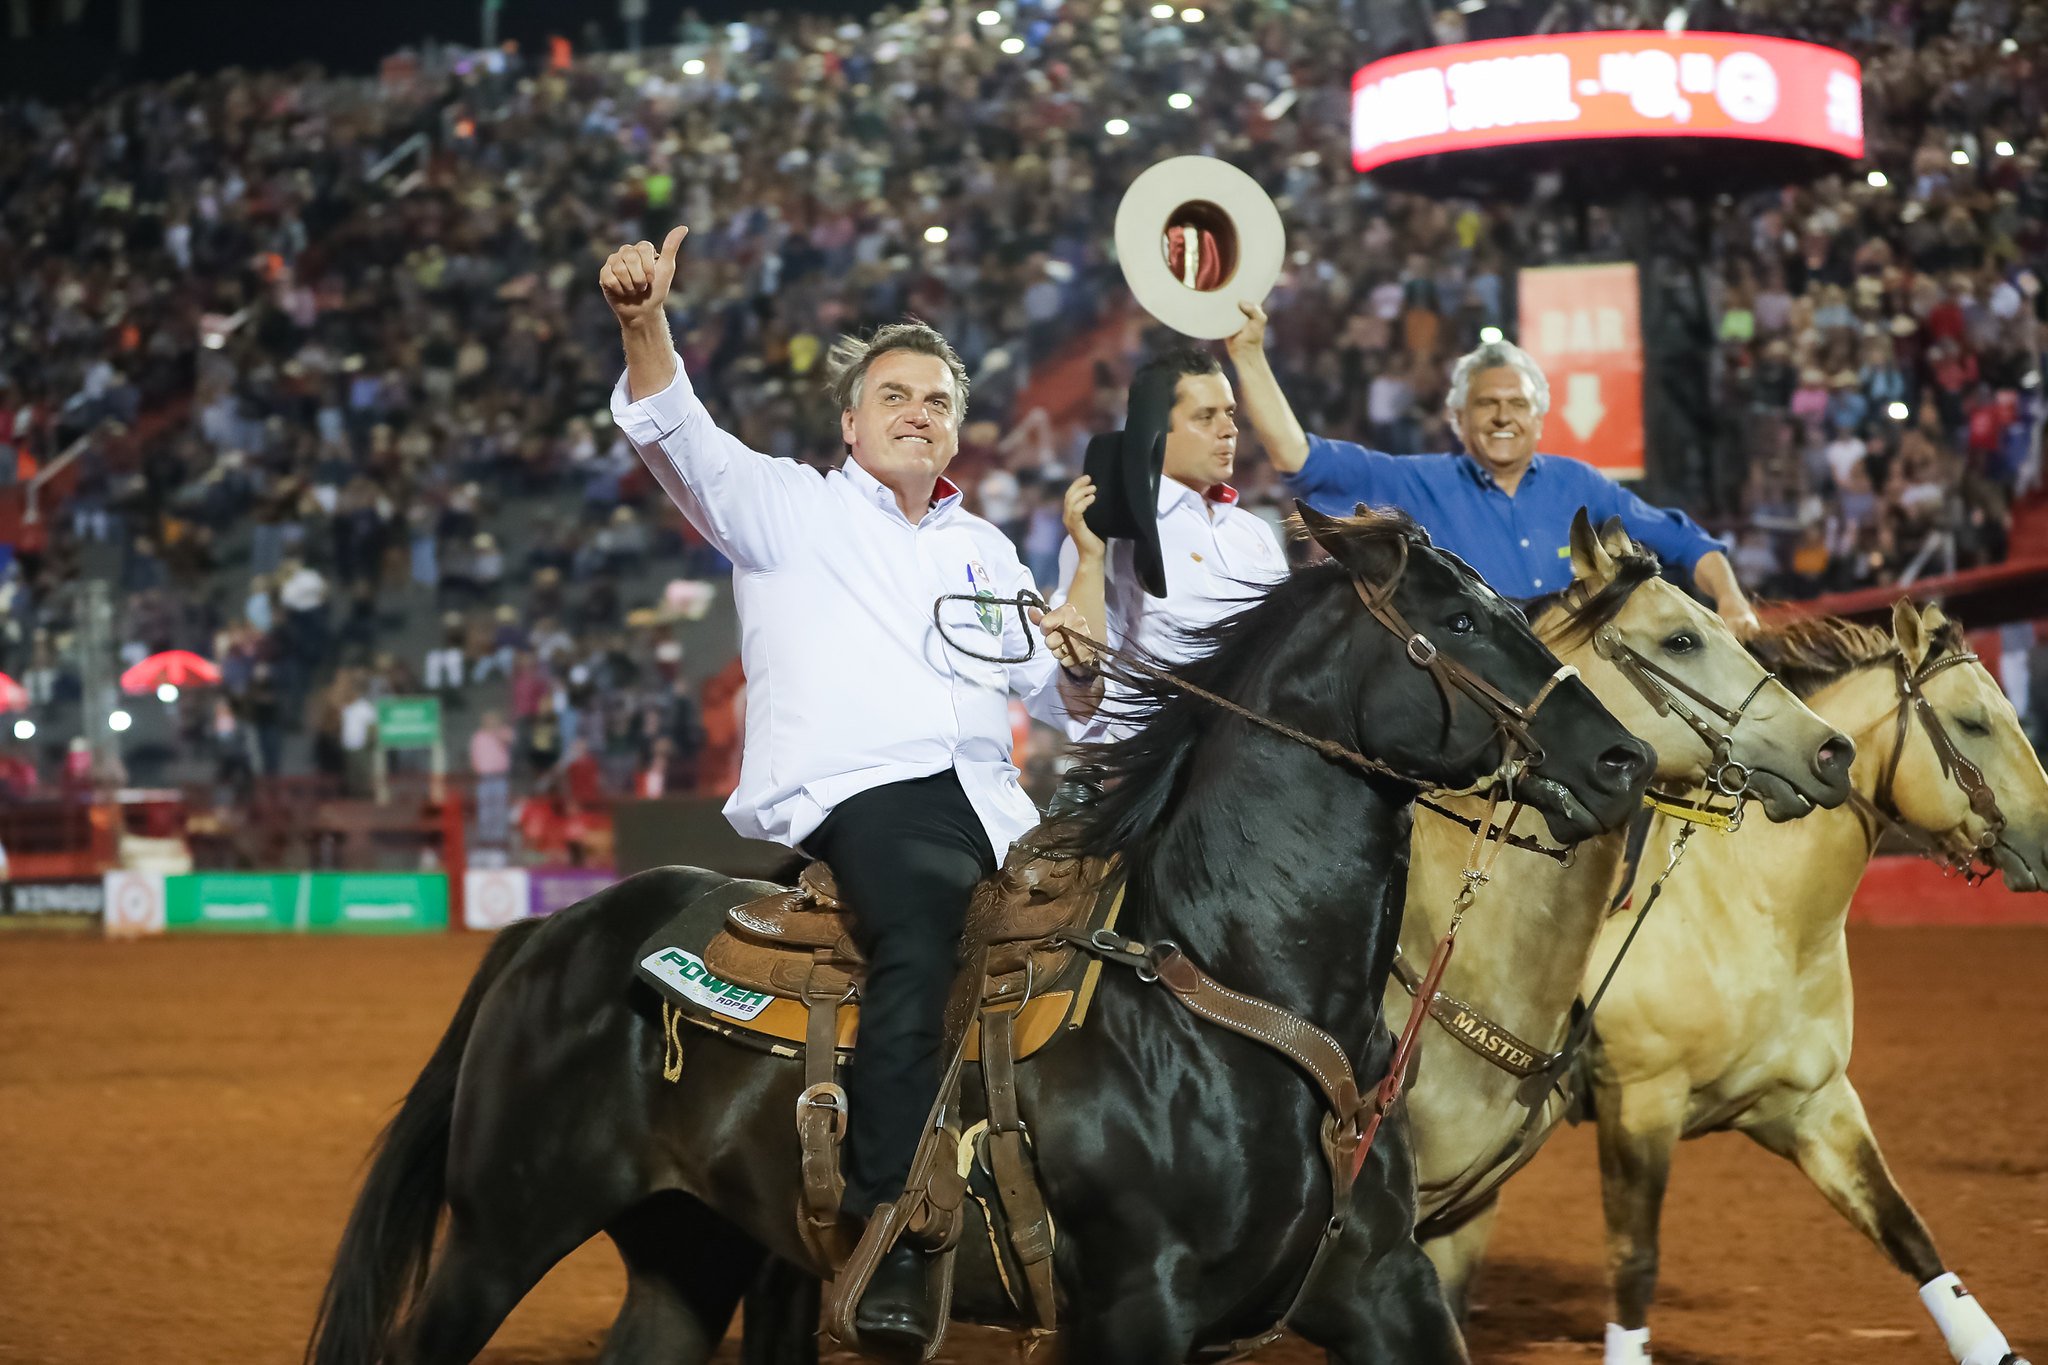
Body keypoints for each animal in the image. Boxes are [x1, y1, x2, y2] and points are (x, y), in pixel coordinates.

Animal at [303, 509, 1654, 1365]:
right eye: (1460, 626)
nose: (1619, 759)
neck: (1223, 994)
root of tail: (552, 932)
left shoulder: (1383, 1291)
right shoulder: (1133, 1312)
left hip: (687, 1249)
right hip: (499, 1232)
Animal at [1572, 601, 2039, 1365]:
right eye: (1974, 723)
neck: (1747, 908)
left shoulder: (1812, 1105)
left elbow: (1910, 1233)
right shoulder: (1639, 1101)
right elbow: (1633, 1263)